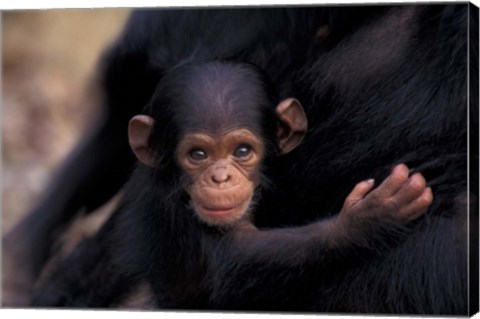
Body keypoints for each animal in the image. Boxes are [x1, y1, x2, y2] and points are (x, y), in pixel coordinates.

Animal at [31, 61, 434, 312]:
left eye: (241, 151)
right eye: (198, 155)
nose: (220, 177)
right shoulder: (176, 212)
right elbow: (235, 260)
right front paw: (365, 221)